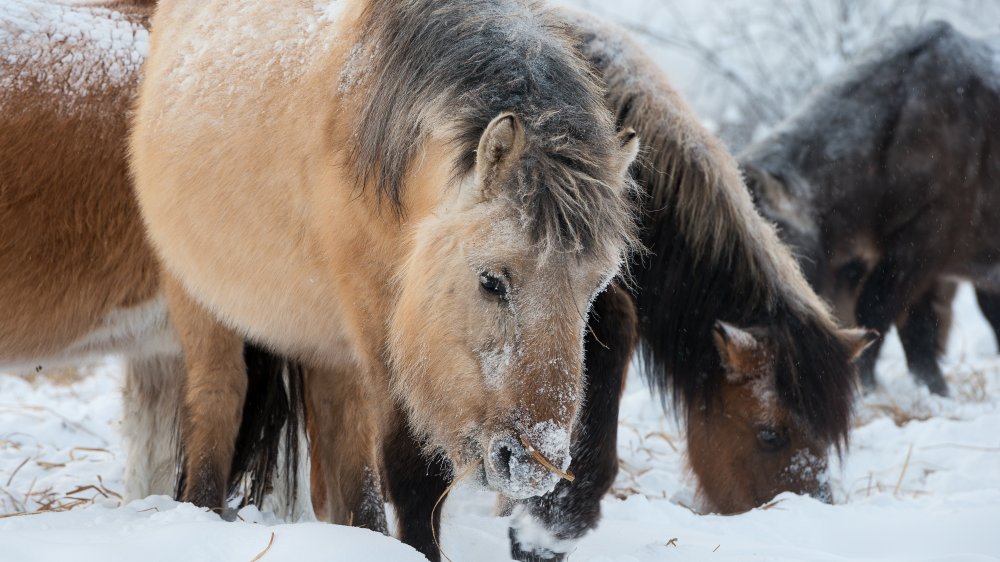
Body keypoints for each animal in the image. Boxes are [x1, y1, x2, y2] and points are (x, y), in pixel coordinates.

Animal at [131, 0, 640, 516]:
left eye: (595, 289)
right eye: (491, 281)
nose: (534, 464)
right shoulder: (381, 325)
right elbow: (413, 471)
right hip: (199, 301)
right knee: (218, 397)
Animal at [744, 21, 1000, 396]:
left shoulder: (922, 242)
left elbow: (875, 312)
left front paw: (865, 385)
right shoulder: (921, 265)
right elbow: (918, 331)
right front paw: (933, 389)